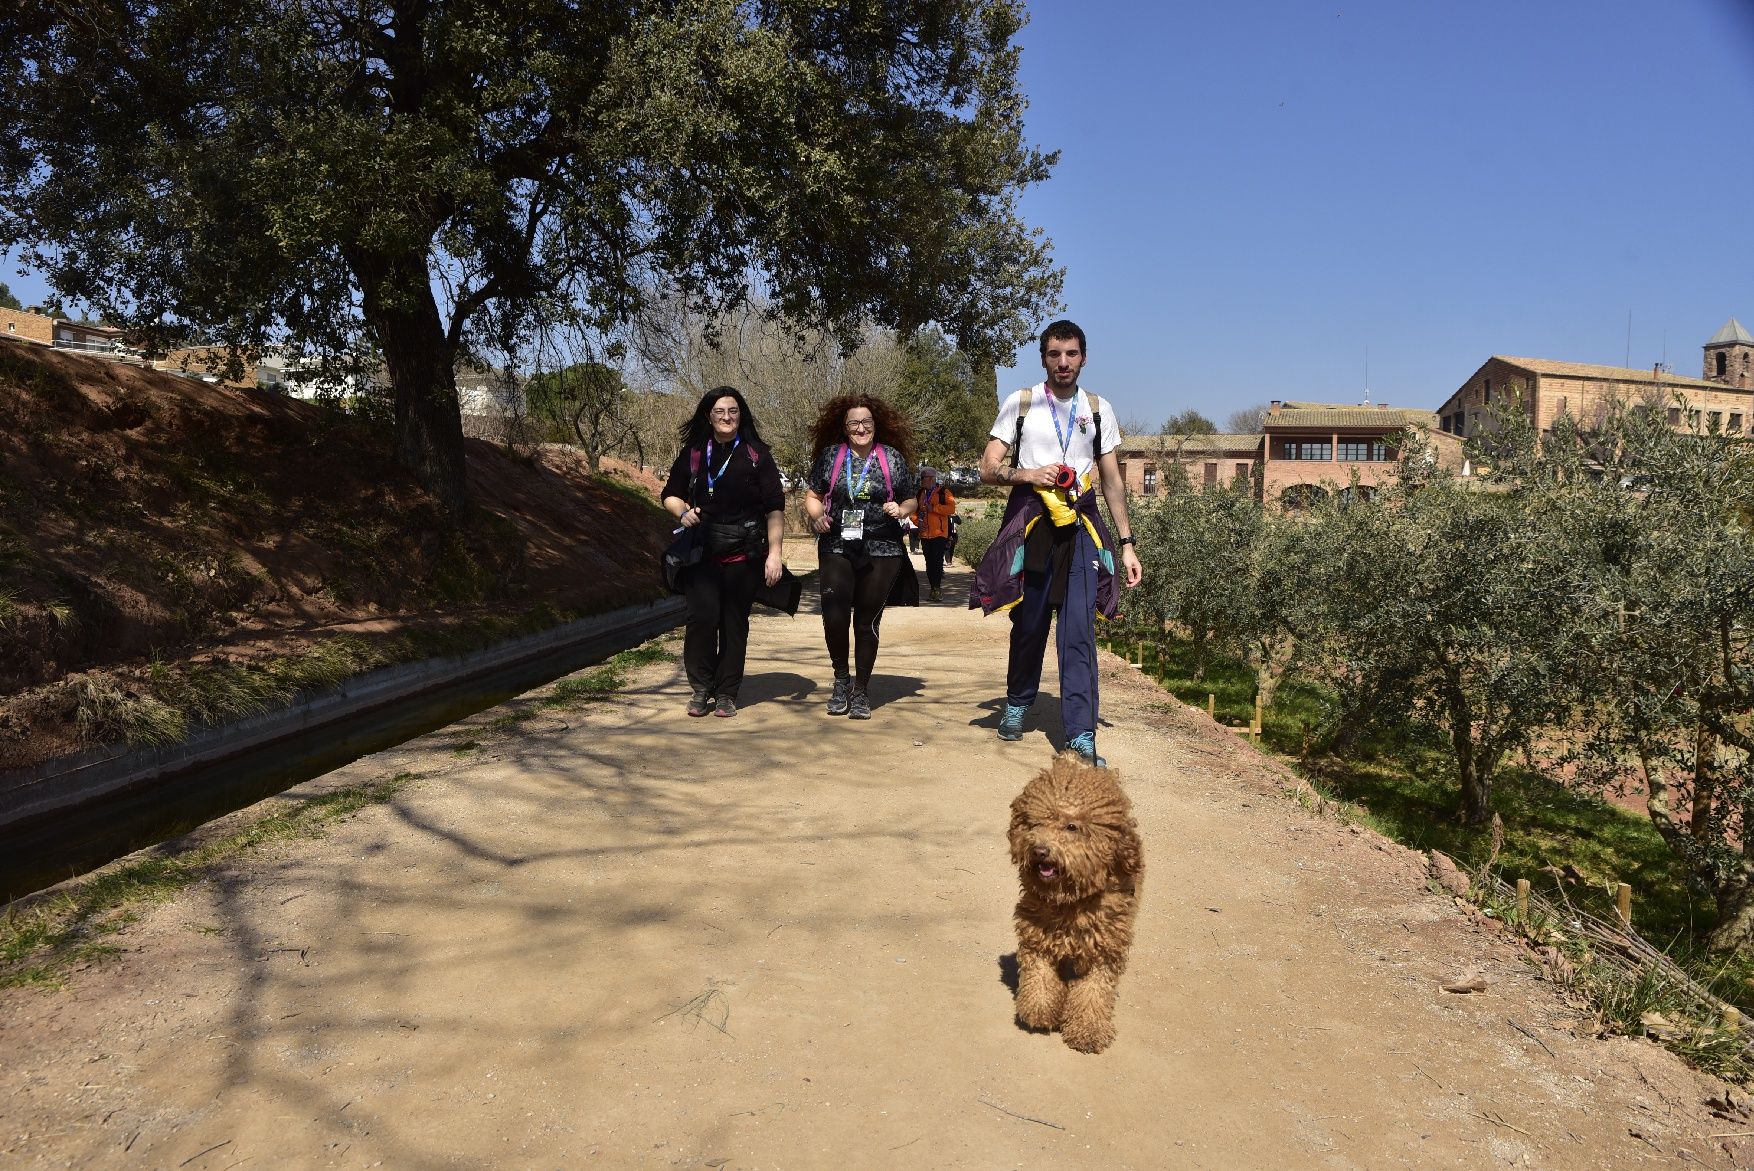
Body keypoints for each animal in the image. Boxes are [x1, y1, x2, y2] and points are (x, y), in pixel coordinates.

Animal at [1010, 753, 1143, 1058]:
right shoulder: (1037, 933)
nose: (1040, 851)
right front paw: (1040, 1010)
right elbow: (1040, 975)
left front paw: (1087, 1031)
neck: (1071, 901)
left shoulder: (1105, 948)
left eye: (1072, 826)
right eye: (1034, 824)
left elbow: (1093, 991)